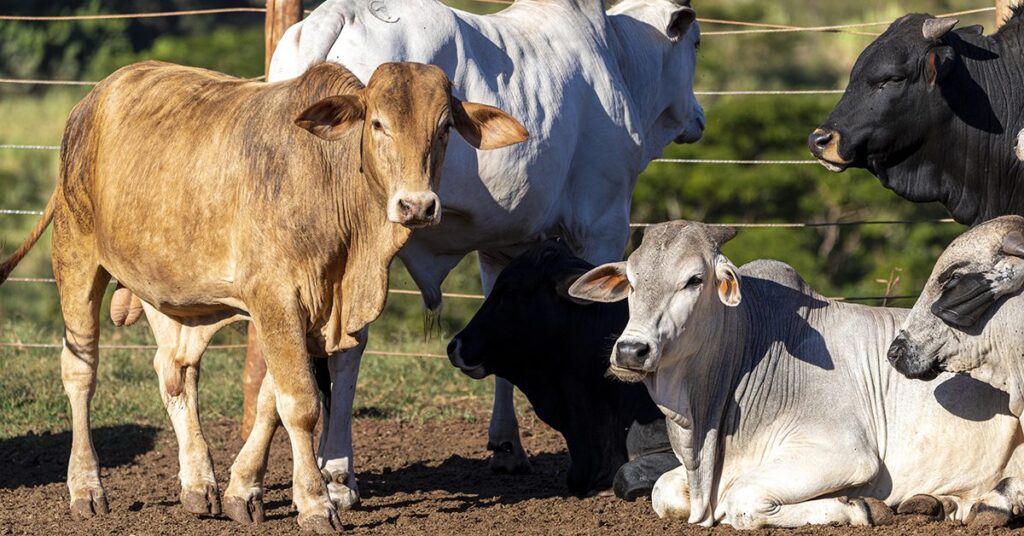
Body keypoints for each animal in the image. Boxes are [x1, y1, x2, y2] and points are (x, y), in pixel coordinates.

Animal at [0, 59, 528, 532]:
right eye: (378, 123)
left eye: (444, 128)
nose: (417, 206)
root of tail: (92, 99)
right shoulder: (276, 297)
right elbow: (300, 403)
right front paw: (315, 504)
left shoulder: (309, 309)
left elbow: (272, 401)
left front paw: (243, 489)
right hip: (76, 255)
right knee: (80, 371)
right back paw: (86, 487)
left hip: (170, 291)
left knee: (175, 372)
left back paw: (199, 484)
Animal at [569, 221, 1024, 528]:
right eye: (630, 281)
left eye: (694, 280)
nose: (631, 350)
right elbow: (662, 491)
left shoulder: (845, 453)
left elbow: (743, 501)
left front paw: (862, 506)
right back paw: (940, 503)